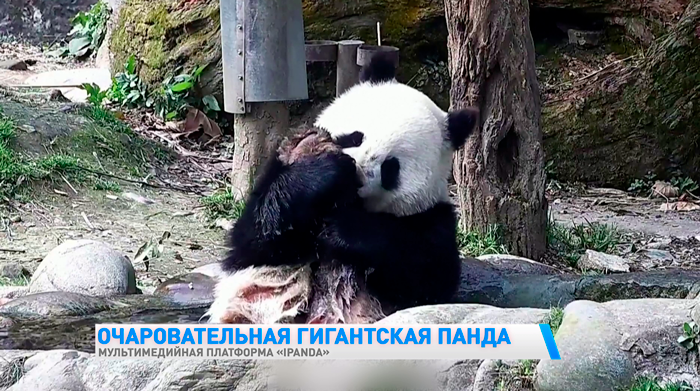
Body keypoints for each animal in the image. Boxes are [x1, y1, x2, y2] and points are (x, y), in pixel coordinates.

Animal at [206, 53, 482, 326]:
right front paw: (320, 167)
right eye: (355, 136)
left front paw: (342, 231)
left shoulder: (434, 217)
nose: (356, 172)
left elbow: (429, 274)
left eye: (391, 167)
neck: (345, 202)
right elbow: (257, 238)